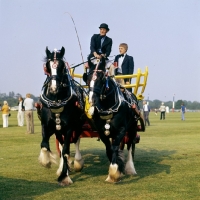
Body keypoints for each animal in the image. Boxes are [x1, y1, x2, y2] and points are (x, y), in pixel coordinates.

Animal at [38, 47, 85, 186]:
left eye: (62, 66)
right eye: (47, 66)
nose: (54, 88)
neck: (56, 100)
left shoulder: (69, 128)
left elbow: (65, 151)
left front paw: (64, 176)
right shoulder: (46, 125)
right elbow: (44, 145)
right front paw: (46, 162)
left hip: (78, 125)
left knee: (75, 141)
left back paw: (77, 162)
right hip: (58, 130)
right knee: (61, 143)